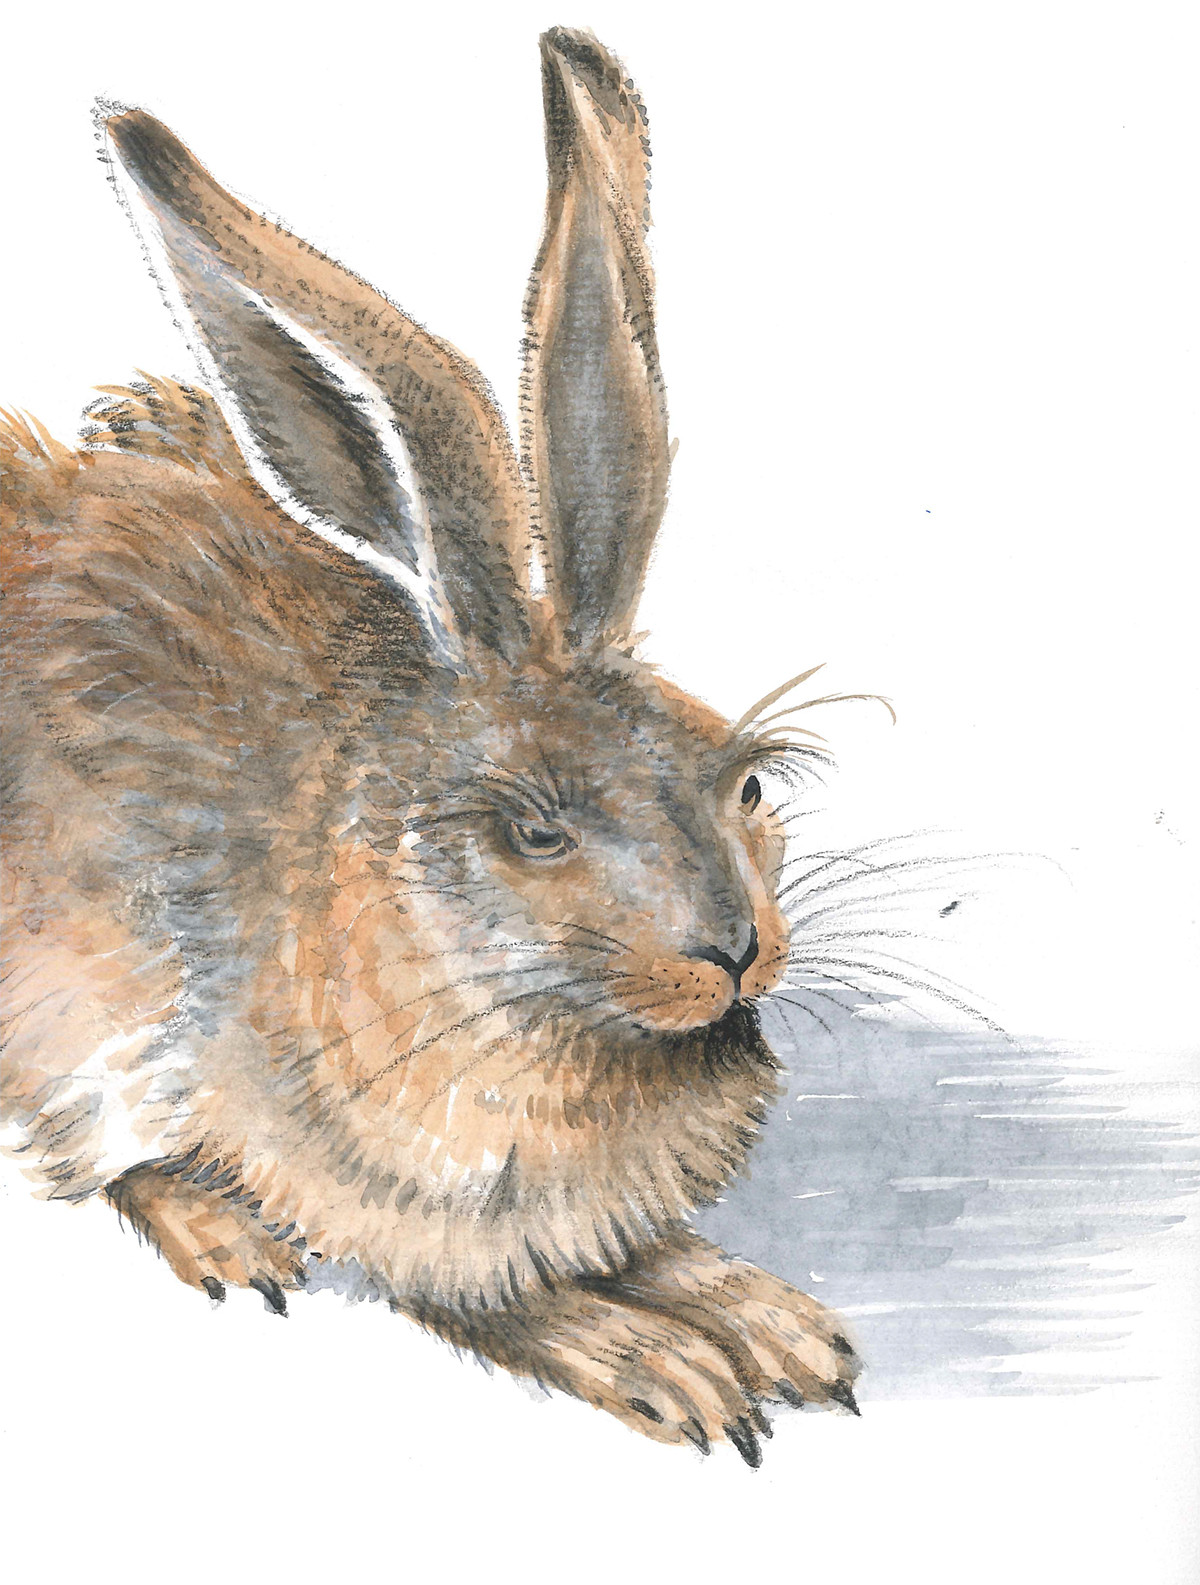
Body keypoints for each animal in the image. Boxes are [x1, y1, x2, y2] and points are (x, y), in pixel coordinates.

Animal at [0, 26, 861, 1465]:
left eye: (744, 782)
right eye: (536, 831)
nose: (735, 952)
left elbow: (655, 1248)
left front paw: (777, 1322)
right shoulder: (401, 1208)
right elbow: (508, 1302)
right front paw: (672, 1366)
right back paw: (228, 1238)